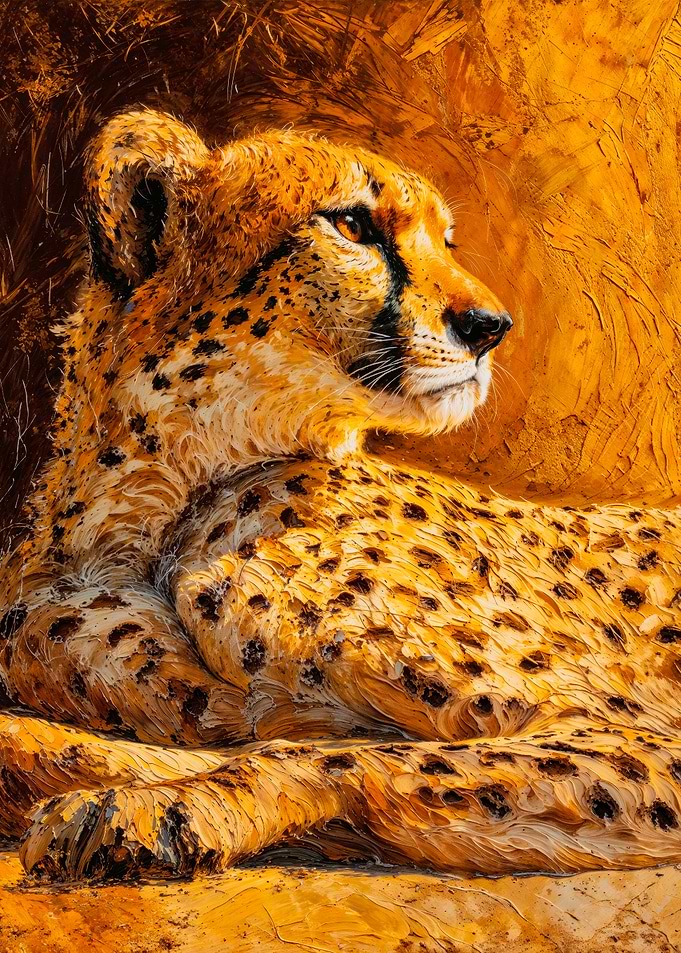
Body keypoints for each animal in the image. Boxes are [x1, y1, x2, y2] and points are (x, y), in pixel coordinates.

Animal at [1, 108, 680, 883]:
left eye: (445, 240)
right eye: (353, 224)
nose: (490, 326)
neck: (155, 506)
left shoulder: (625, 730)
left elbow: (334, 752)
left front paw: (158, 809)